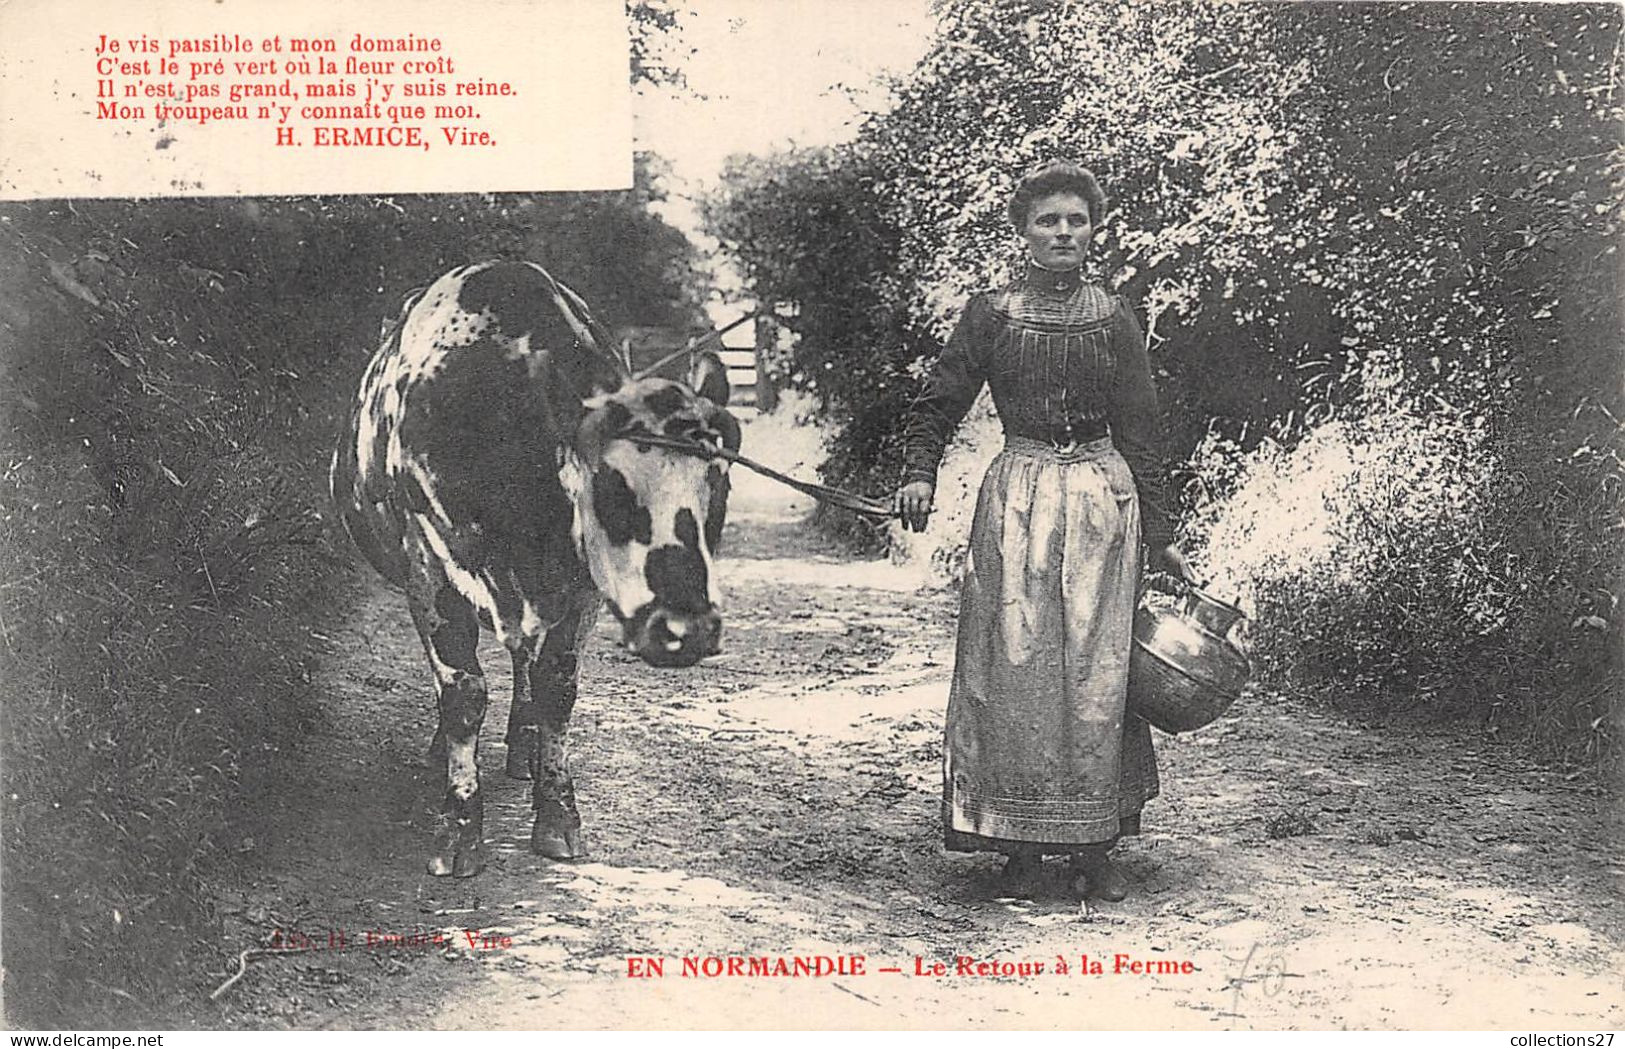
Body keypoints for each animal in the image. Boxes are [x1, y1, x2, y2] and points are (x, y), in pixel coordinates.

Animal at [329, 261, 737, 876]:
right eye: (608, 491)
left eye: (721, 486)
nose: (686, 630)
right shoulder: (428, 566)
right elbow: (463, 692)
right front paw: (459, 830)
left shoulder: (581, 586)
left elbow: (556, 686)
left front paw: (558, 817)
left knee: (524, 660)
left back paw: (522, 744)